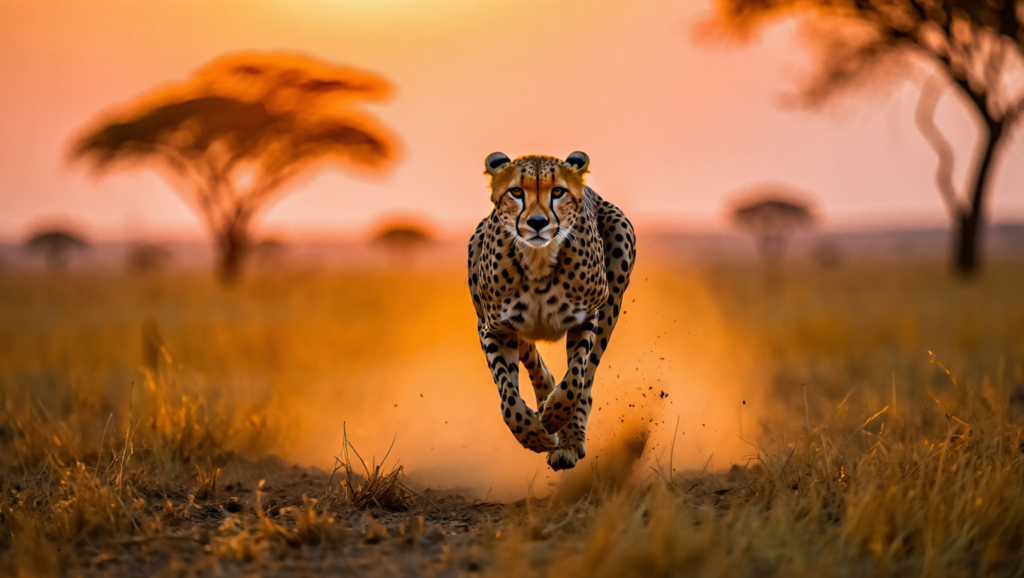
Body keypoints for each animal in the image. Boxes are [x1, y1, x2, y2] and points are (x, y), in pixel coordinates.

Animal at [467, 151, 636, 471]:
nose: (537, 222)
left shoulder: (586, 317)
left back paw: (567, 435)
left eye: (557, 192)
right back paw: (544, 405)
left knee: (586, 381)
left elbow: (575, 378)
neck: (538, 259)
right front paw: (532, 433)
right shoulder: (493, 328)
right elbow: (508, 395)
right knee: (535, 363)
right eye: (516, 192)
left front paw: (558, 417)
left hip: (614, 281)